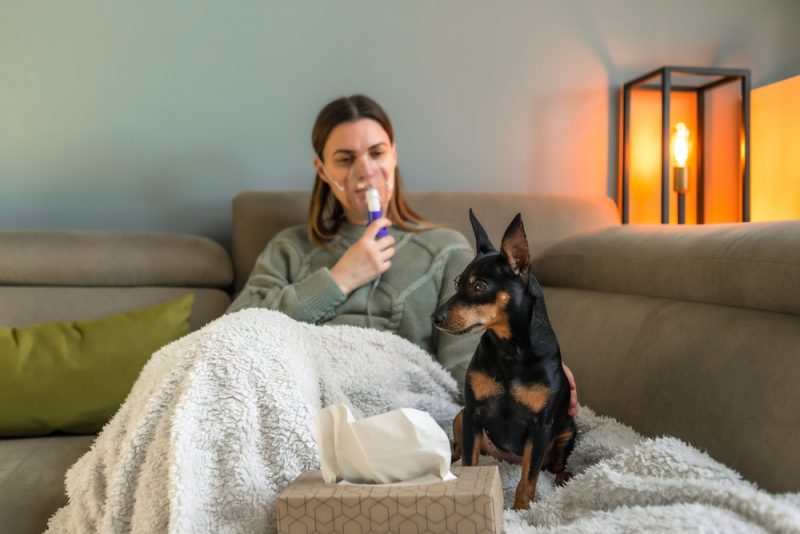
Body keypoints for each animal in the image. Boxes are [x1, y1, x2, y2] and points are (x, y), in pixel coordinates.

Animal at [432, 209, 576, 510]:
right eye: (456, 283)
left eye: (479, 285)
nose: (435, 318)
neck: (510, 350)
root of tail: (506, 459)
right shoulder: (474, 412)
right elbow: (471, 464)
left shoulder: (540, 426)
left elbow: (529, 480)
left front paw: (522, 510)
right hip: (462, 417)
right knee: (459, 449)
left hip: (568, 429)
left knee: (556, 464)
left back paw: (563, 477)